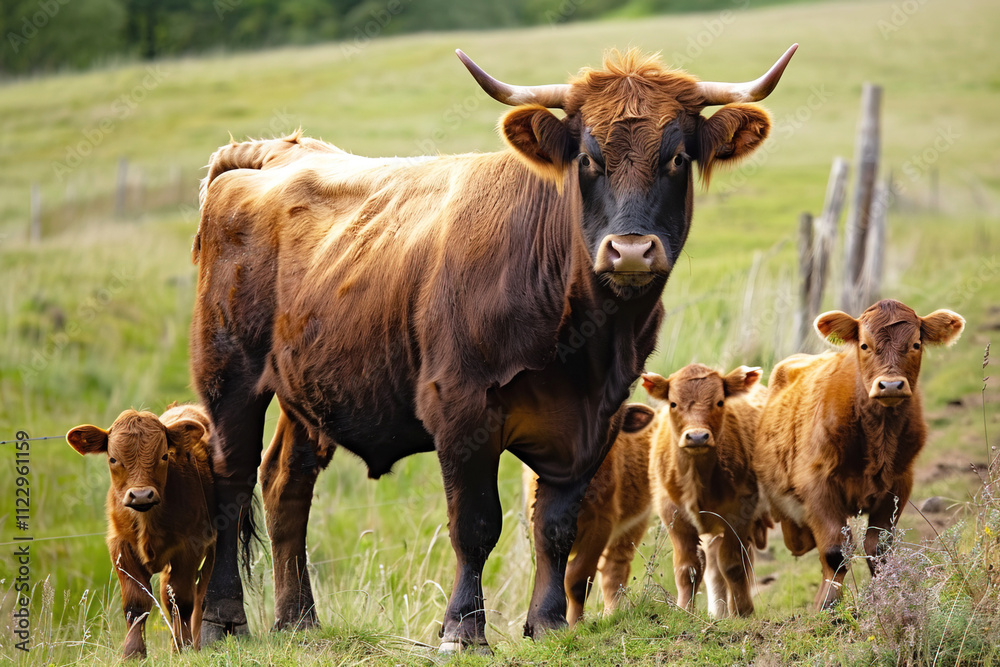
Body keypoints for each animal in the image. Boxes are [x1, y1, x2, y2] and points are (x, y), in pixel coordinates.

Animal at [66, 404, 216, 659]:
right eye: (113, 459)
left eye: (164, 456)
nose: (141, 495)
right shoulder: (120, 547)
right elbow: (136, 603)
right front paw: (133, 652)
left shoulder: (190, 546)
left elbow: (182, 601)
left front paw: (183, 648)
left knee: (199, 593)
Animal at [524, 403, 657, 625]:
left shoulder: (601, 524)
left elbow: (577, 580)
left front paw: (574, 625)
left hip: (632, 527)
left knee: (614, 570)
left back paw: (612, 613)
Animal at [643, 363, 770, 618]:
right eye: (673, 403)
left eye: (720, 402)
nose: (697, 436)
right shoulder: (673, 516)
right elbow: (687, 569)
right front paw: (684, 611)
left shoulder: (739, 514)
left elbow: (733, 565)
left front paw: (743, 611)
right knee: (712, 566)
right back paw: (719, 612)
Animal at [756, 299, 965, 610]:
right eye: (865, 345)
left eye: (915, 344)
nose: (890, 385)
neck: (879, 437)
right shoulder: (818, 486)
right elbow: (835, 551)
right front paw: (827, 606)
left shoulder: (898, 484)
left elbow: (878, 548)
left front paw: (887, 596)